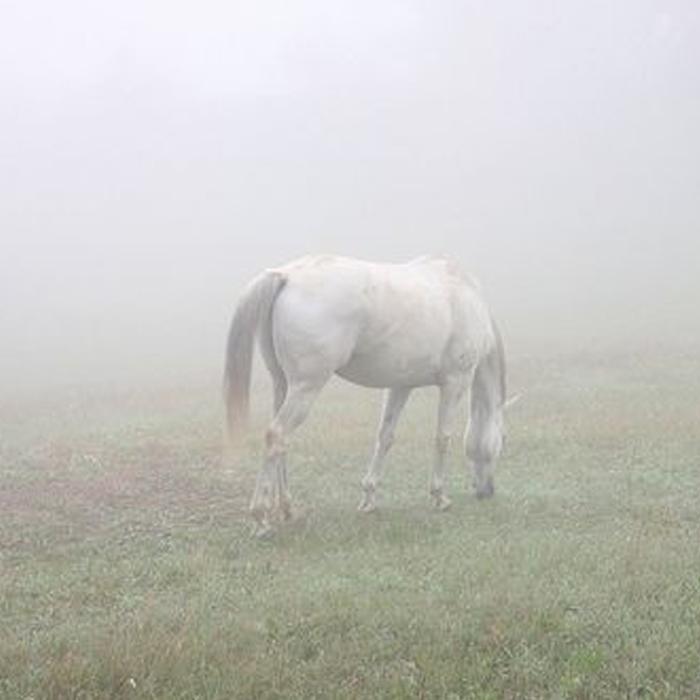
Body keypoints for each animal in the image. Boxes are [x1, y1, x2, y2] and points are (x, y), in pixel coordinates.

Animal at [224, 255, 511, 536]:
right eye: (503, 440)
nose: (487, 491)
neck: (466, 296)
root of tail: (286, 275)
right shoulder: (455, 382)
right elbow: (442, 438)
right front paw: (439, 496)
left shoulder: (400, 386)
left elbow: (385, 437)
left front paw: (369, 498)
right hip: (306, 388)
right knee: (276, 435)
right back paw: (260, 518)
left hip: (282, 385)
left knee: (281, 442)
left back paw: (286, 508)